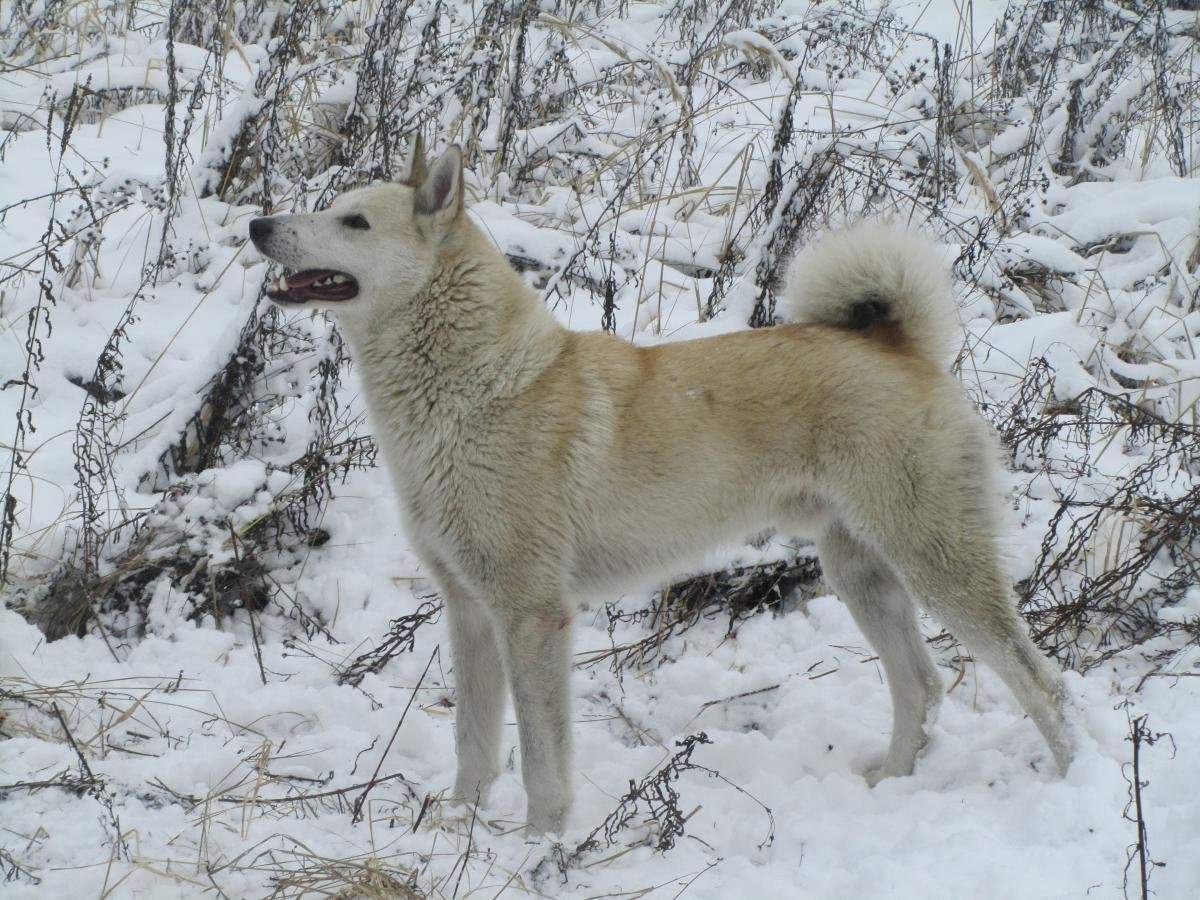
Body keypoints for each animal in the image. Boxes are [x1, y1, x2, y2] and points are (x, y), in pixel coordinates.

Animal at [248, 137, 1075, 835]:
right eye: (333, 207)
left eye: (353, 221)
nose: (257, 224)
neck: (474, 389)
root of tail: (896, 345)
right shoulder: (470, 612)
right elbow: (473, 743)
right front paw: (457, 831)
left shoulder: (532, 616)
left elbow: (542, 758)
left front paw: (539, 847)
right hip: (861, 572)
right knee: (921, 685)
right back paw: (895, 781)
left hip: (938, 565)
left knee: (1039, 681)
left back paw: (1073, 779)